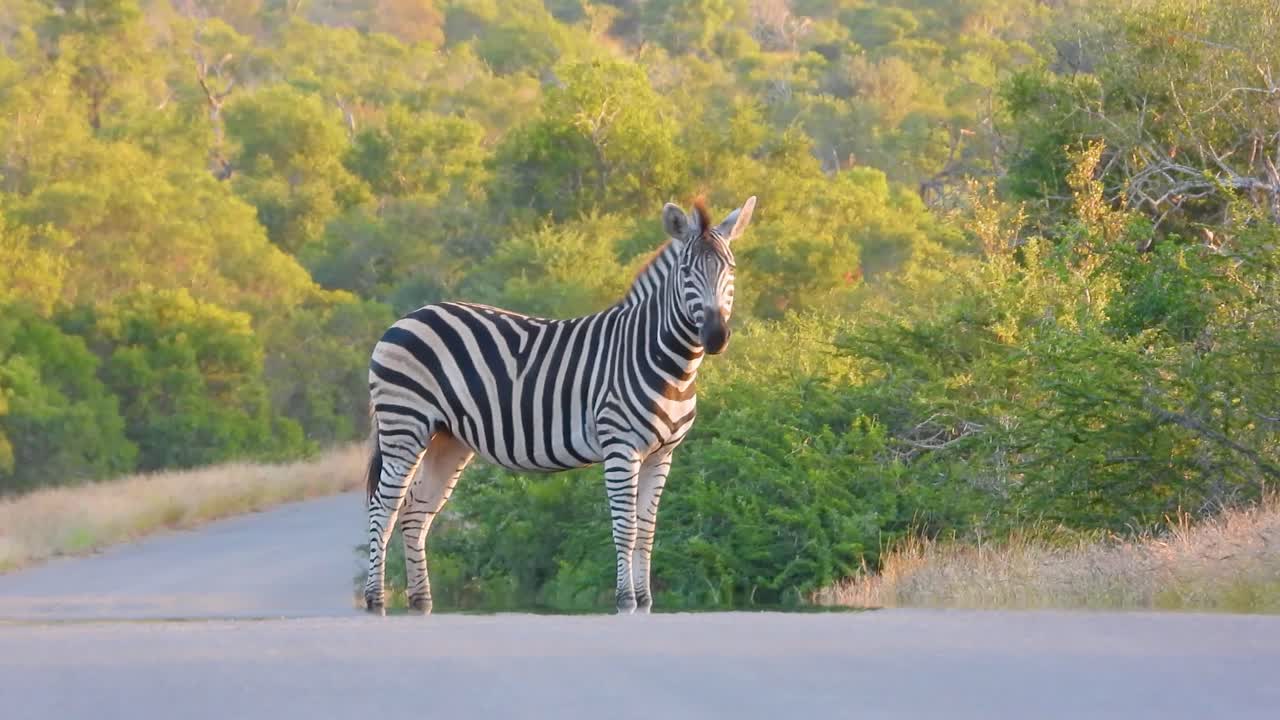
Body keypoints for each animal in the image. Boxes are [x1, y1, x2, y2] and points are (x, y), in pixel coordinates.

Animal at [362, 195, 756, 614]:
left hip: (447, 439)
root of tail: (406, 318)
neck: (663, 361)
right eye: (685, 273)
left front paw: (646, 601)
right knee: (383, 508)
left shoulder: (662, 454)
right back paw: (375, 601)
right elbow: (626, 528)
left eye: (730, 268)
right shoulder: (621, 447)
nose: (716, 336)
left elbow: (647, 531)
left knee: (416, 511)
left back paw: (420, 602)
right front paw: (626, 601)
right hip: (405, 425)